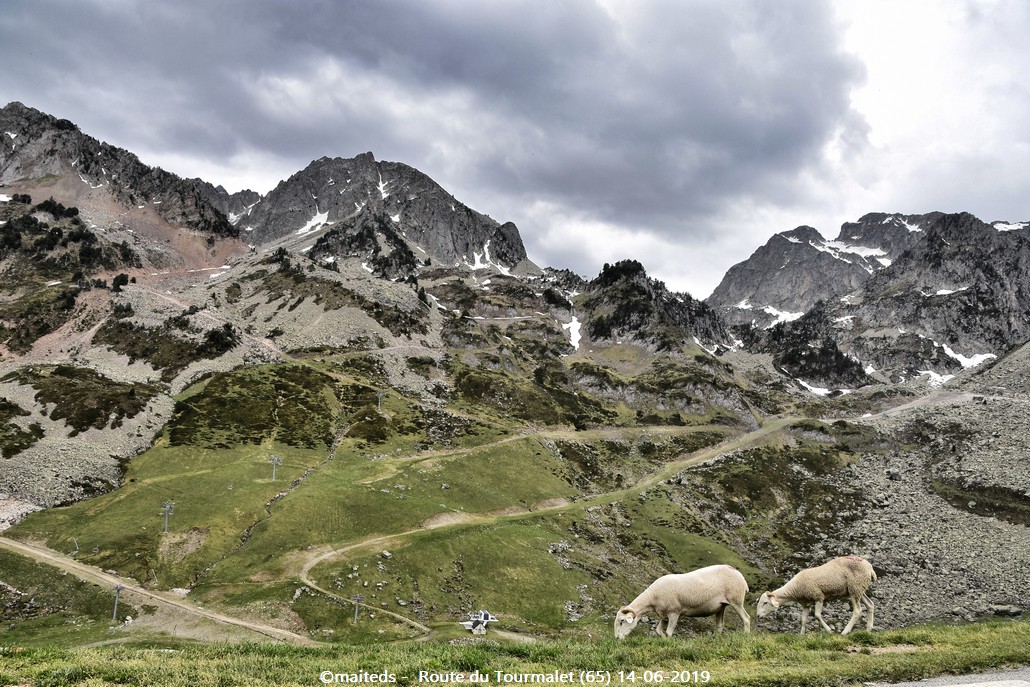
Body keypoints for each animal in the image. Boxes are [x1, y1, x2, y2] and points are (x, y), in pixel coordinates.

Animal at [609, 564, 749, 638]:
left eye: (622, 621)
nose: (616, 638)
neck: (653, 597)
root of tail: (738, 572)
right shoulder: (664, 616)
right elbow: (659, 631)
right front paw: (663, 639)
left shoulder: (674, 612)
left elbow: (669, 632)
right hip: (721, 606)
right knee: (720, 625)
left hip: (735, 600)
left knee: (746, 618)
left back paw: (745, 636)